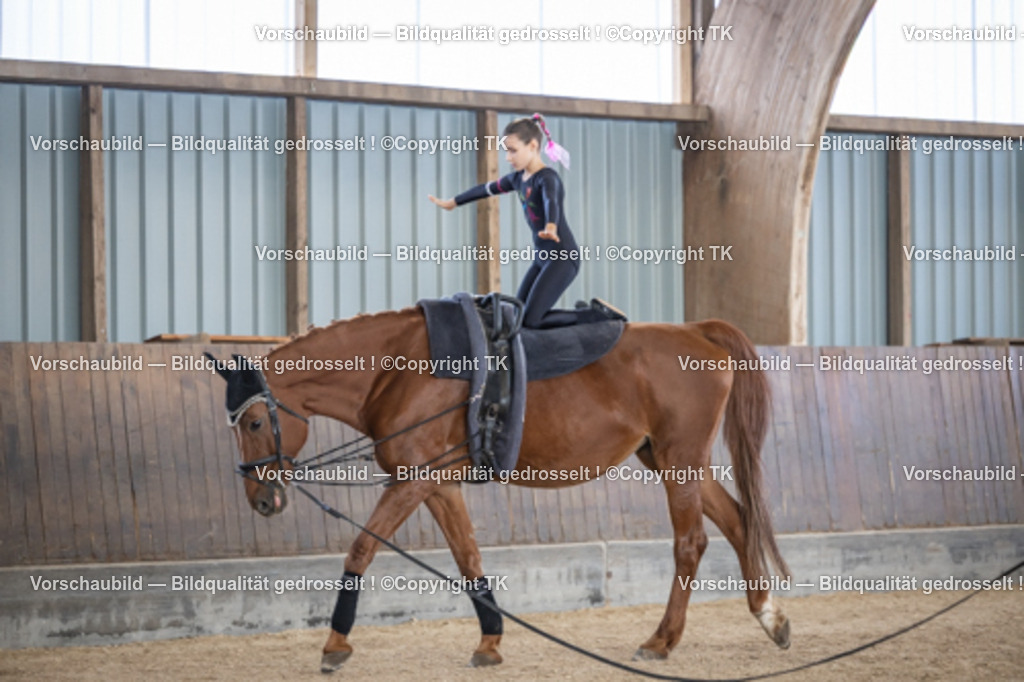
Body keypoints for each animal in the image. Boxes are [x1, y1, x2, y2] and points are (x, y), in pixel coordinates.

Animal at [211, 306, 792, 672]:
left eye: (256, 422)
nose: (262, 500)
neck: (399, 370)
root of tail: (698, 331)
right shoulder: (438, 484)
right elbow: (468, 556)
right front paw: (490, 642)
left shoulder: (412, 480)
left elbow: (361, 548)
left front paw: (334, 644)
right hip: (672, 460)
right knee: (738, 520)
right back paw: (770, 617)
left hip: (679, 461)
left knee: (691, 542)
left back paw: (661, 641)